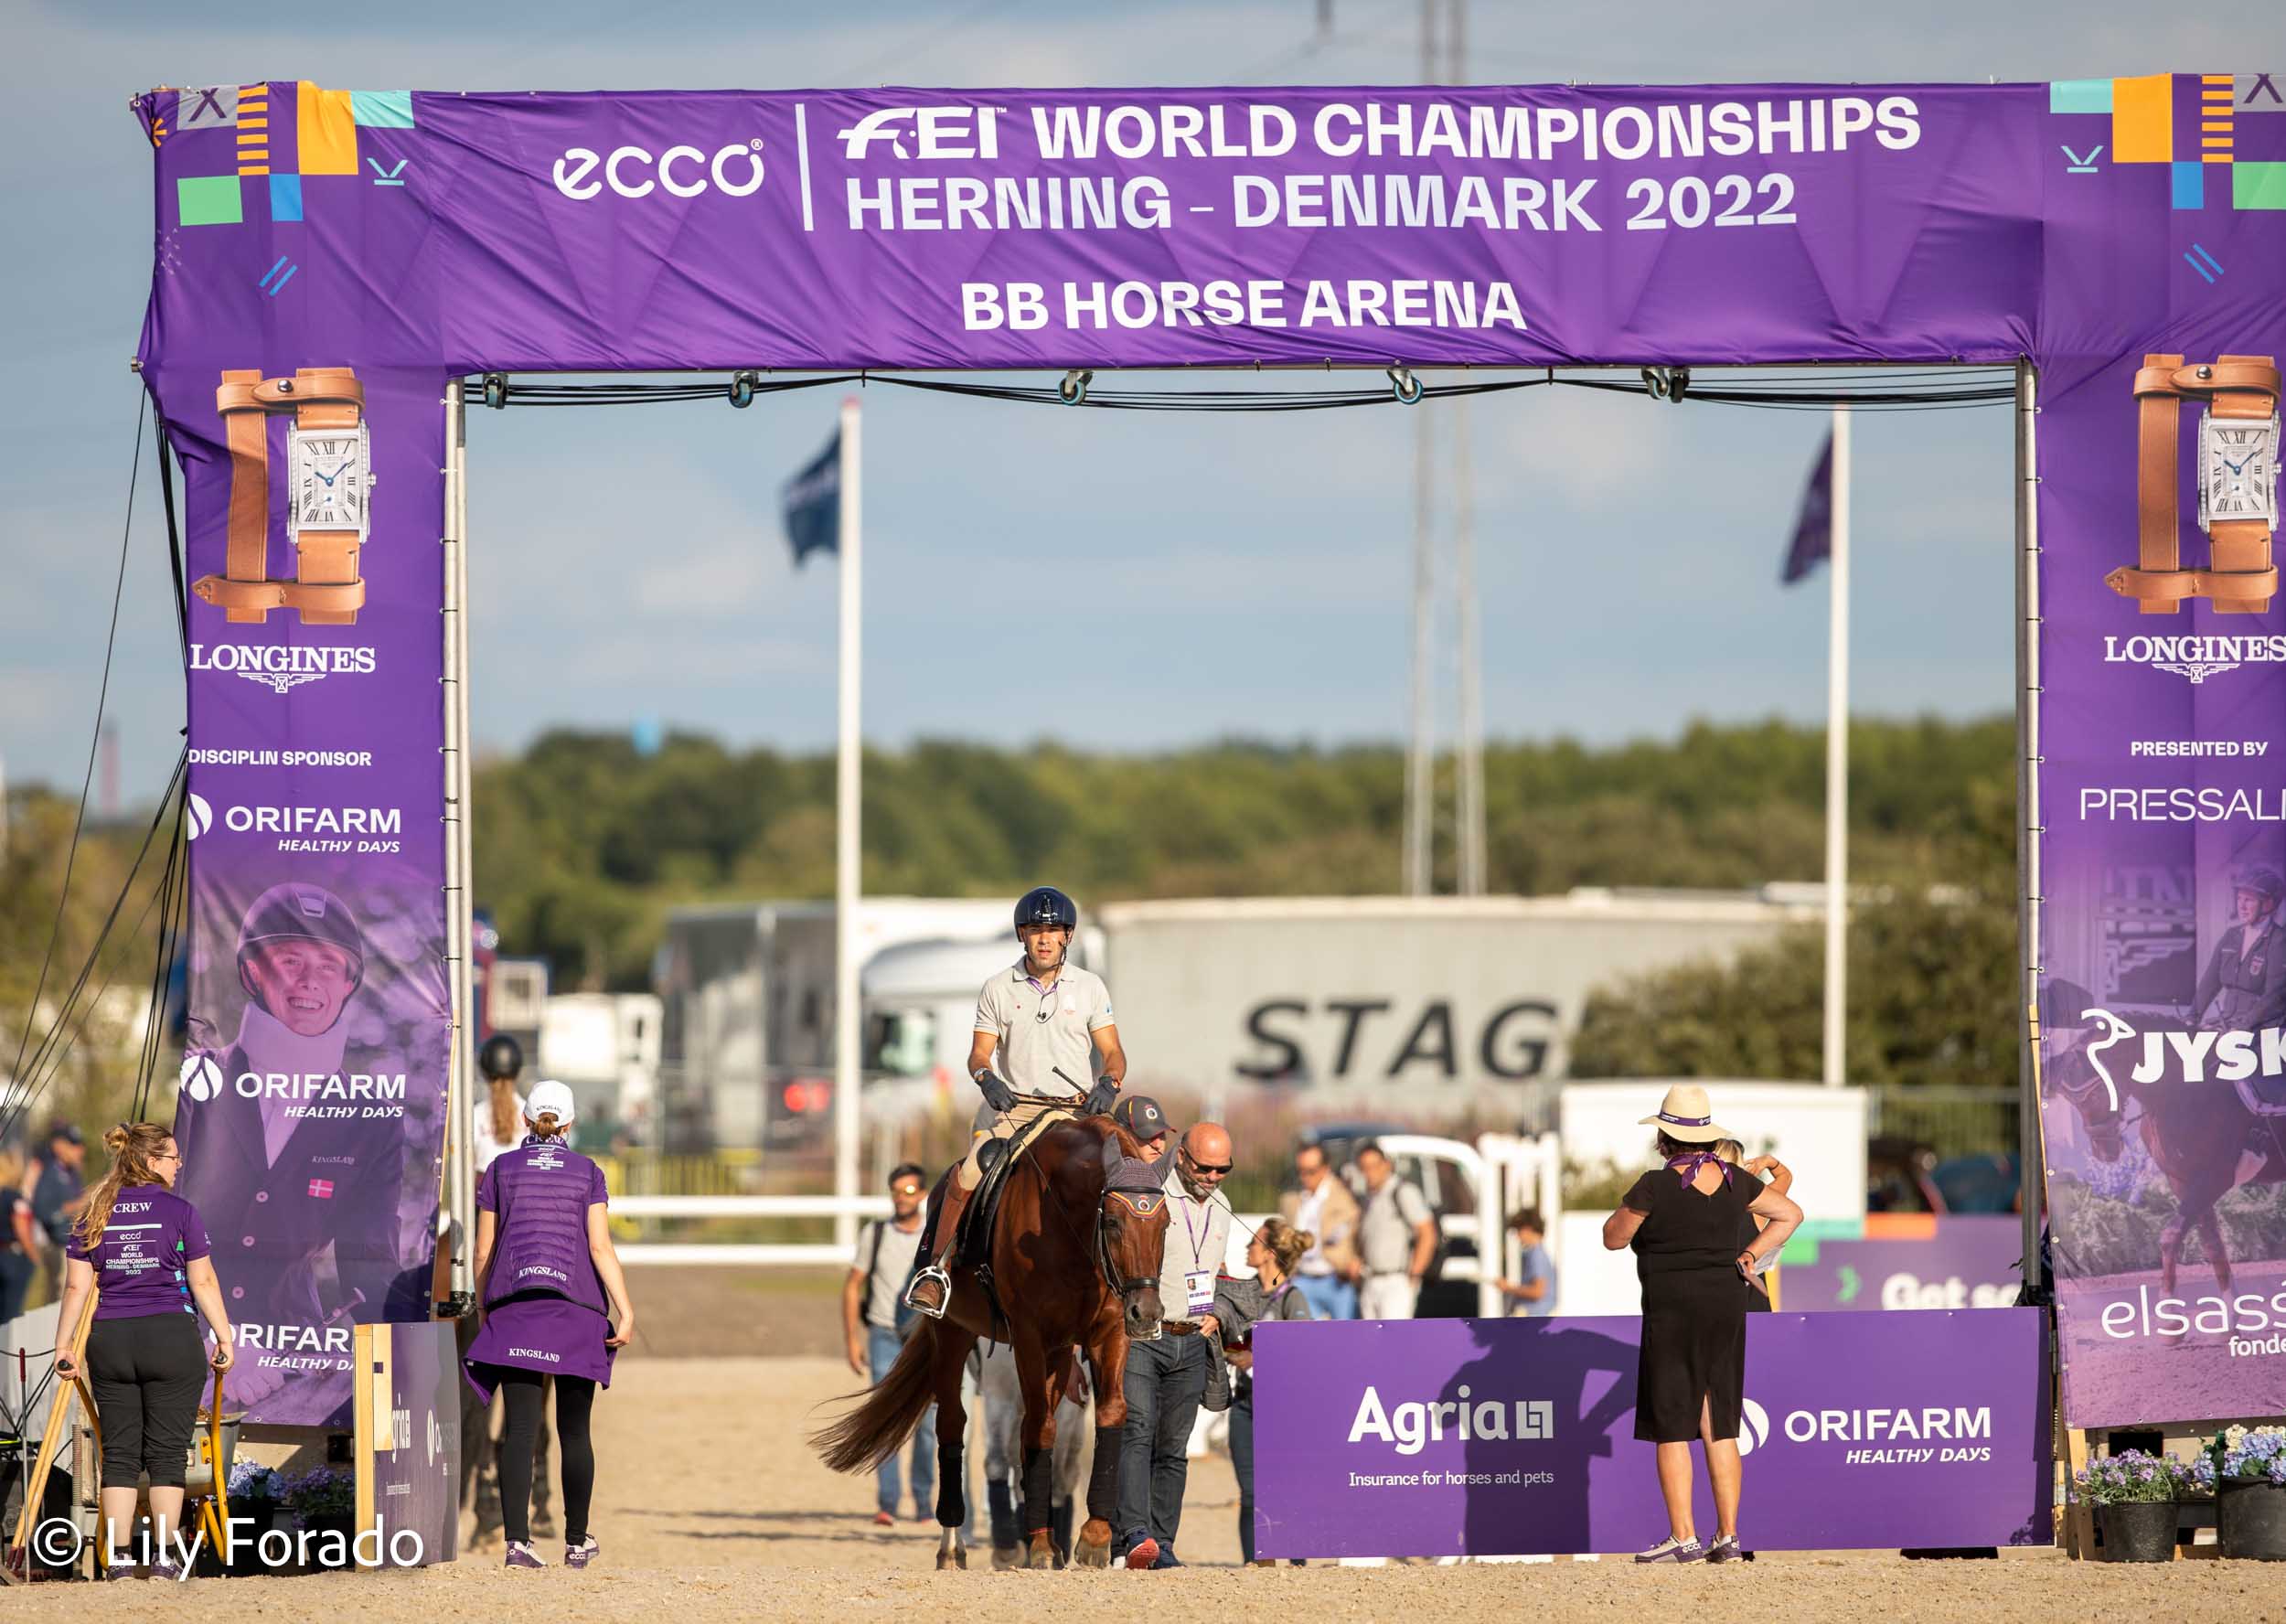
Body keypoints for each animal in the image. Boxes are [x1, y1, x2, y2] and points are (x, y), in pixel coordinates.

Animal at [814, 1125, 1170, 1573]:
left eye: (1166, 1223)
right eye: (1114, 1222)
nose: (1147, 1312)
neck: (1067, 1223)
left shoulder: (1108, 1333)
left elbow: (1110, 1414)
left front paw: (1093, 1538)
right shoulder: (1030, 1336)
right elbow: (1039, 1428)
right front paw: (1039, 1545)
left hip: (1057, 1352)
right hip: (952, 1334)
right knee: (954, 1425)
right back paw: (954, 1546)